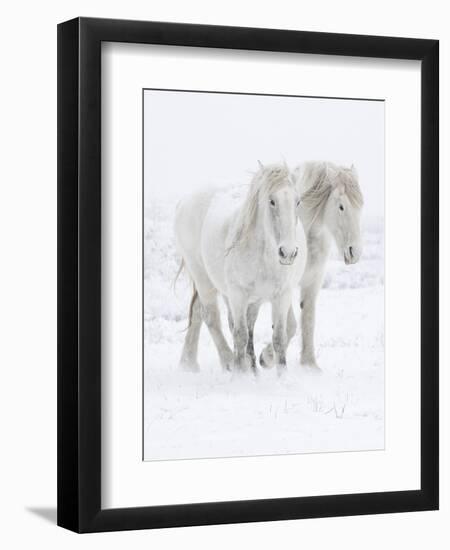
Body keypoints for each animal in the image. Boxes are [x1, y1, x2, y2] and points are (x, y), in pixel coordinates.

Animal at [174, 164, 308, 376]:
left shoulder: (281, 295)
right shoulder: (238, 294)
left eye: (298, 201)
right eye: (272, 201)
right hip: (203, 279)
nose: (287, 253)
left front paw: (280, 375)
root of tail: (184, 202)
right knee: (211, 317)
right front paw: (239, 374)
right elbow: (240, 335)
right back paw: (229, 361)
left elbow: (279, 336)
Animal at [258, 162, 364, 374]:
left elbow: (308, 319)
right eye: (341, 206)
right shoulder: (285, 287)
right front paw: (266, 358)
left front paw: (310, 365)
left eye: (360, 207)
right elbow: (290, 325)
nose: (354, 252)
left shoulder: (313, 282)